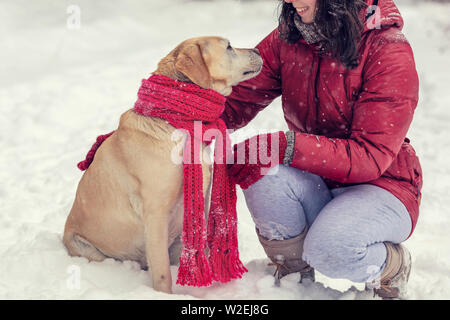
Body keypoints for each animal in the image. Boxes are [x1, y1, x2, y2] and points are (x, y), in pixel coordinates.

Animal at [61, 36, 262, 294]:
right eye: (228, 46)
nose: (258, 50)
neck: (178, 119)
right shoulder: (155, 212)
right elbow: (163, 273)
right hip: (86, 246)